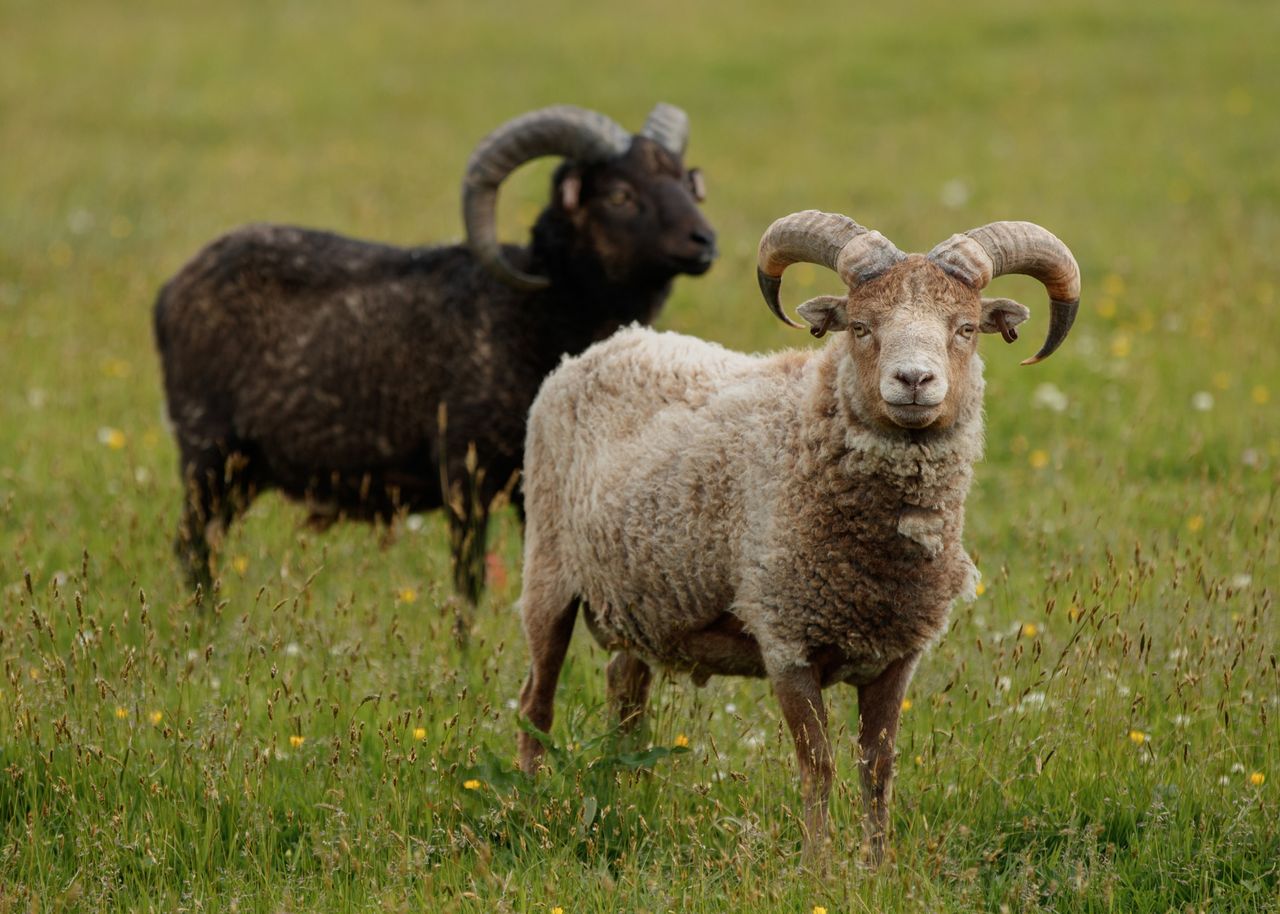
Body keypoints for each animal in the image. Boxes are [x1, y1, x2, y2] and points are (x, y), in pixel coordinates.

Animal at [153, 103, 716, 601]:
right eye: (620, 194)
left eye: (688, 185)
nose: (705, 240)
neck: (538, 312)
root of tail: (170, 290)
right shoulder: (464, 470)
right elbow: (468, 585)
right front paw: (467, 651)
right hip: (206, 451)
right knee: (192, 550)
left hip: (244, 471)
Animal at [514, 208, 1075, 860]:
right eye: (859, 326)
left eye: (964, 328)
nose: (914, 380)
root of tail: (605, 345)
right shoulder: (786, 639)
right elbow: (819, 766)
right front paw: (817, 866)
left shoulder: (897, 657)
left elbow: (877, 767)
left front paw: (877, 866)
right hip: (548, 572)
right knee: (536, 702)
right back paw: (527, 802)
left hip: (644, 596)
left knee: (624, 689)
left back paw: (624, 793)